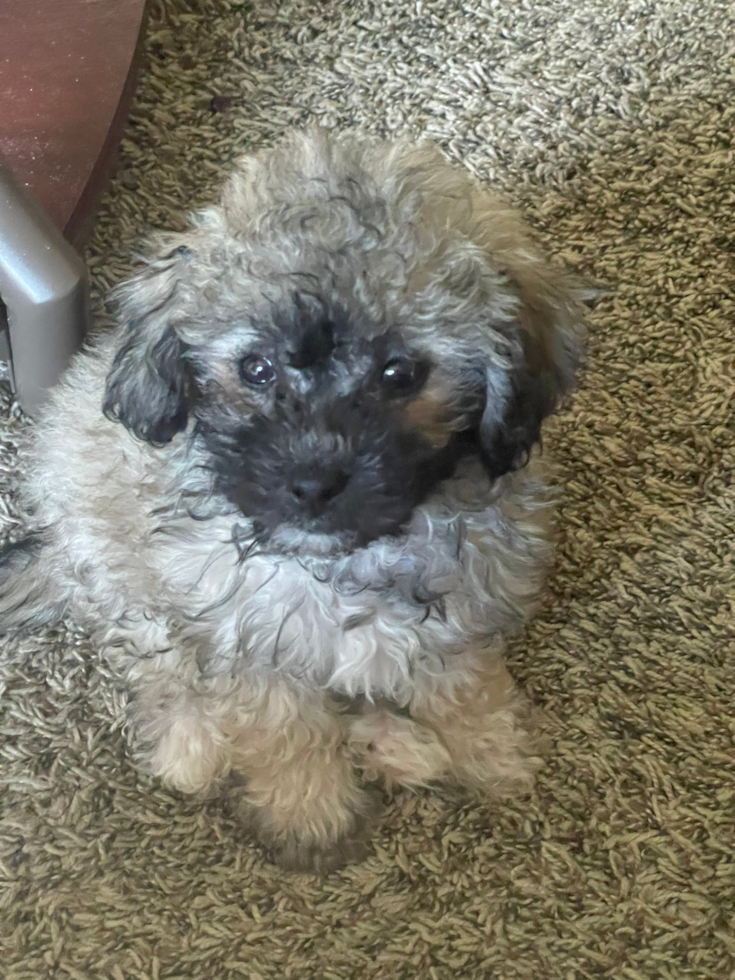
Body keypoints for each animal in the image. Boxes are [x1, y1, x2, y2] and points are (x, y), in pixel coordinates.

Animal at [0, 130, 588, 872]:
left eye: (400, 372)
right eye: (255, 369)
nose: (311, 483)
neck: (344, 563)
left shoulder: (457, 604)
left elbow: (460, 682)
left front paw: (487, 748)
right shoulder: (246, 641)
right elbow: (286, 733)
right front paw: (310, 814)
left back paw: (397, 745)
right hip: (114, 563)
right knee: (158, 665)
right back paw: (192, 742)